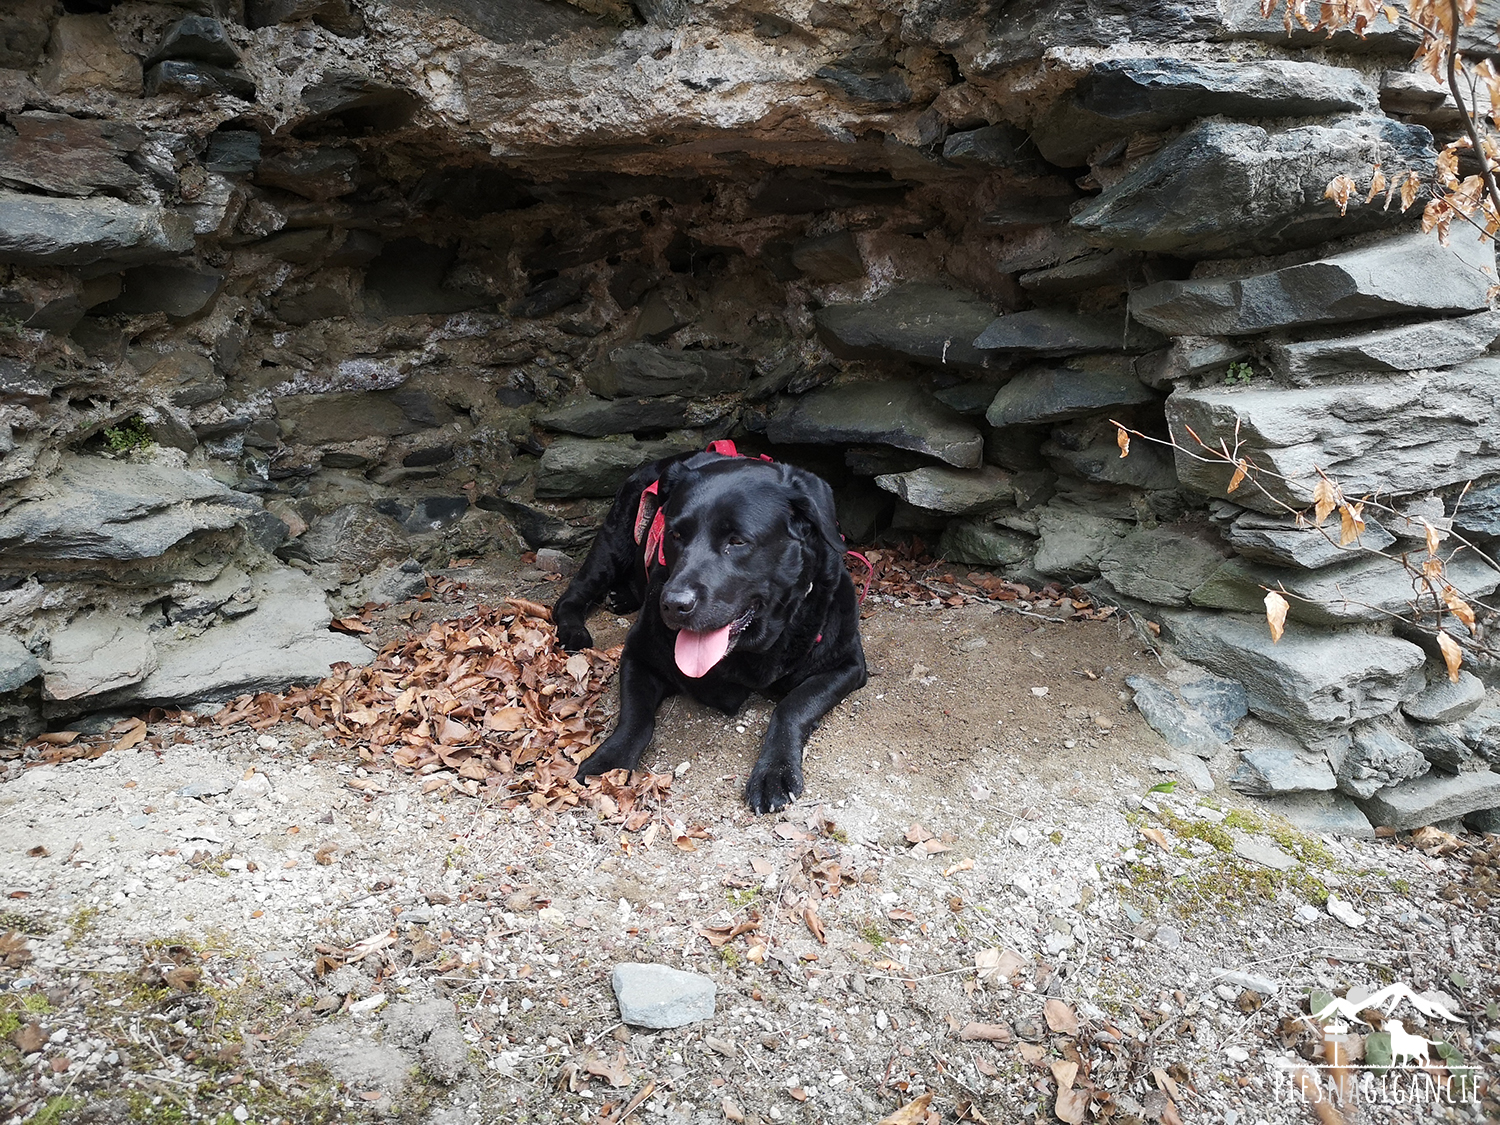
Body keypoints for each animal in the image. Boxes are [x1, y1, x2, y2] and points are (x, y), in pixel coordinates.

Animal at [555, 444, 870, 816]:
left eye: (737, 541)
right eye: (675, 535)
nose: (672, 604)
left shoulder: (847, 665)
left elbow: (793, 706)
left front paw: (774, 772)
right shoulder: (638, 654)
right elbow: (635, 719)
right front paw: (608, 762)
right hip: (614, 543)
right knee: (571, 595)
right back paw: (573, 629)